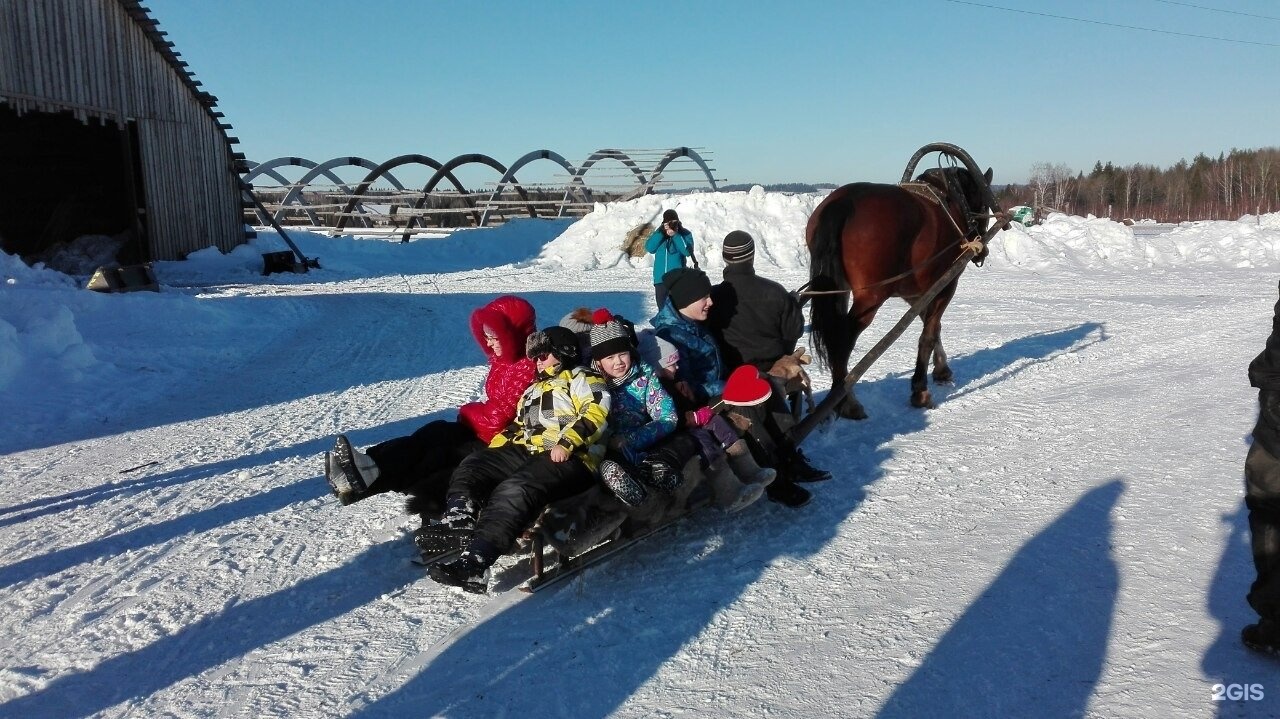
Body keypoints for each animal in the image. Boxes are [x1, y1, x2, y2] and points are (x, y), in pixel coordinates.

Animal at [803, 165, 993, 417]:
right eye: (984, 206)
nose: (982, 252)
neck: (952, 199)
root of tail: (844, 202)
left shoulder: (915, 293)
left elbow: (933, 327)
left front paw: (942, 370)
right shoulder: (945, 286)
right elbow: (929, 334)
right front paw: (920, 390)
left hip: (838, 289)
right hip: (871, 297)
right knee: (843, 337)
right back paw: (846, 401)